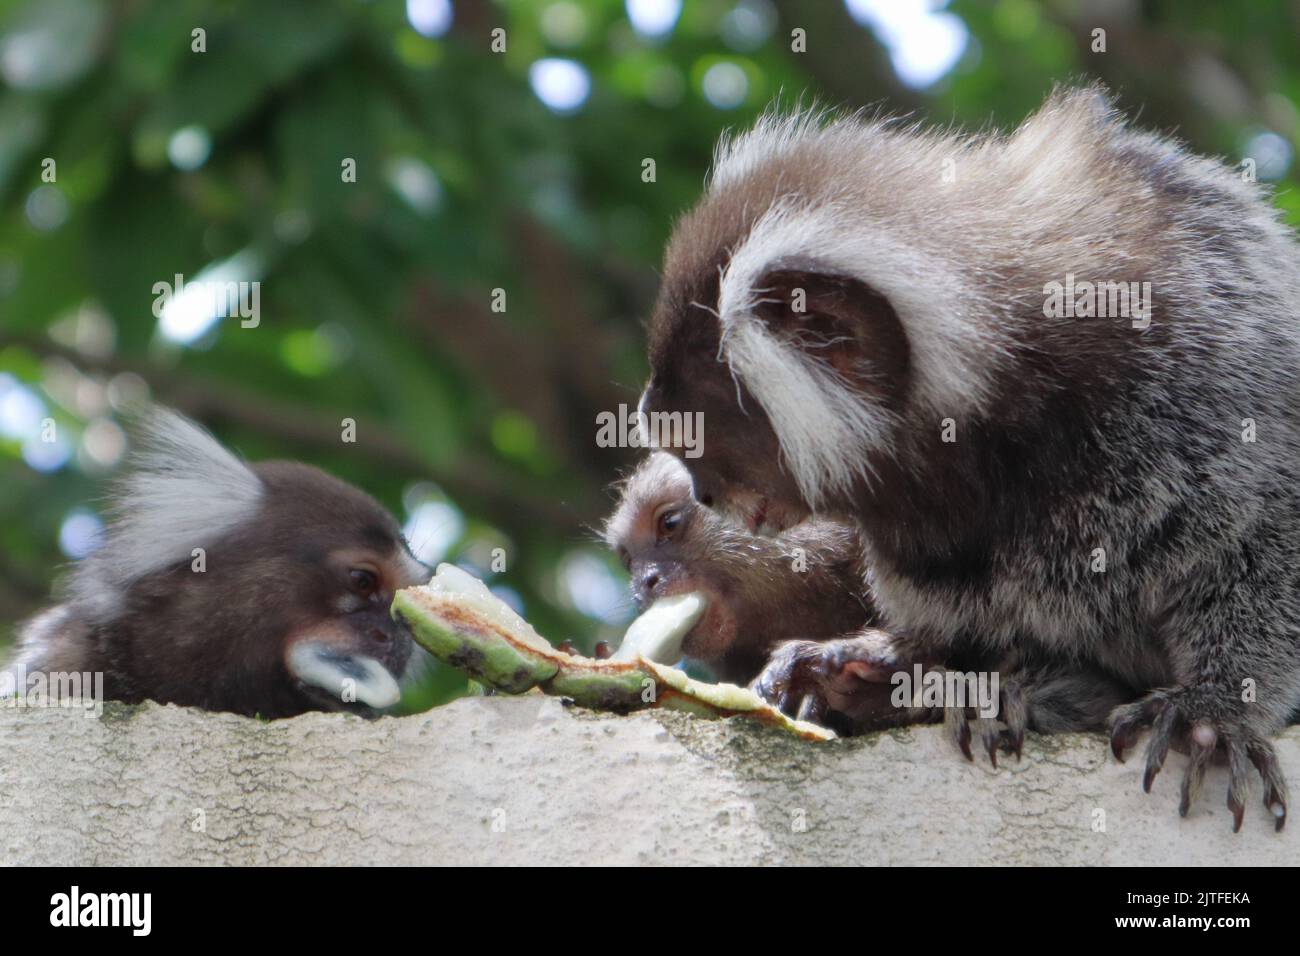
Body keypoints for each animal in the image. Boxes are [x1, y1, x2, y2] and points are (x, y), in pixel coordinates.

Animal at [639, 87, 1300, 832]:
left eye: (699, 432)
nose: (702, 491)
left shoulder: (1215, 375)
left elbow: (1266, 539)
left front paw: (1214, 710)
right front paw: (883, 667)